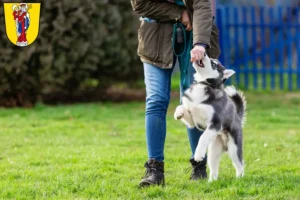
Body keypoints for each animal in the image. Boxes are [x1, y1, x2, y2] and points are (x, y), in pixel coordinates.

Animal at [173, 54, 246, 182]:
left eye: (214, 64)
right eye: (212, 60)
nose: (204, 53)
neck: (203, 84)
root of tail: (237, 117)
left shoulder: (215, 123)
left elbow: (202, 137)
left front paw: (198, 155)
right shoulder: (193, 121)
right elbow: (182, 107)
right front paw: (179, 113)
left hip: (234, 148)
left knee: (240, 164)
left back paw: (239, 178)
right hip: (213, 152)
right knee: (214, 168)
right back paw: (212, 181)